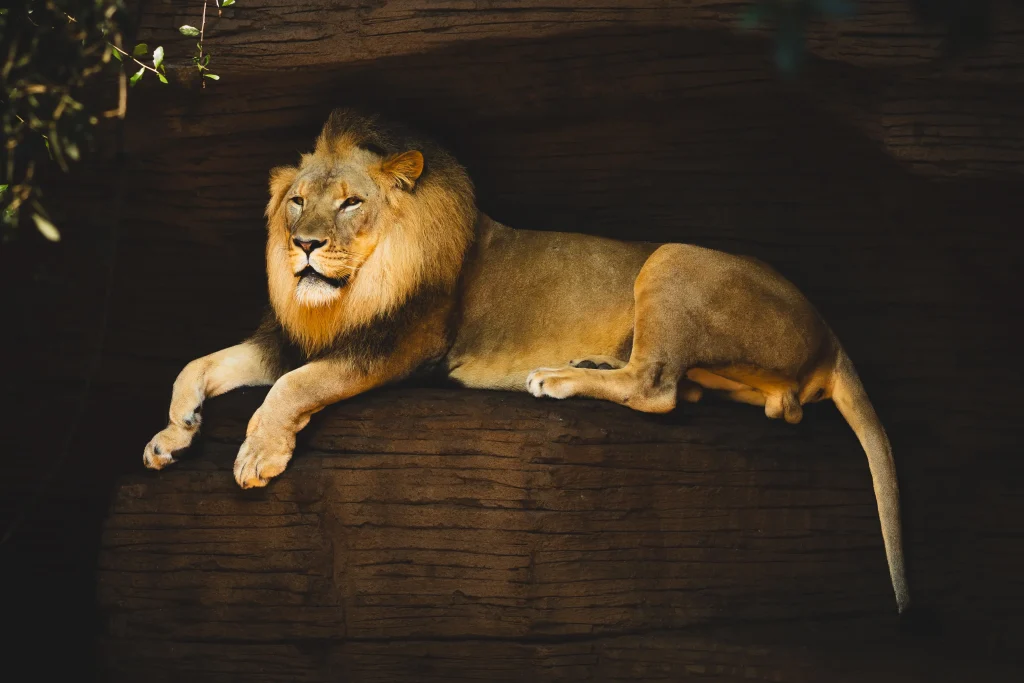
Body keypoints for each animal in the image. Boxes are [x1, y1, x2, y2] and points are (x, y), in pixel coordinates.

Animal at [143, 108, 908, 612]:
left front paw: (258, 453)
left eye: (352, 203)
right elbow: (196, 365)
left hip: (672, 257)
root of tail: (830, 331)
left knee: (658, 386)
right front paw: (172, 434)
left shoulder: (396, 347)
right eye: (297, 202)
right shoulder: (284, 337)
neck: (342, 299)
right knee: (713, 395)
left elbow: (297, 386)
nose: (300, 245)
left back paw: (559, 378)